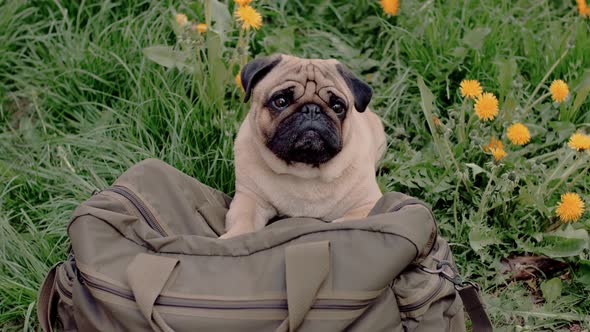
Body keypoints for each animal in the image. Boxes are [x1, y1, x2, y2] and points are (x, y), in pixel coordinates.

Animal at [222, 53, 388, 237]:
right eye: (280, 101)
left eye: (337, 107)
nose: (311, 110)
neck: (304, 170)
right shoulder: (250, 199)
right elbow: (244, 221)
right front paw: (234, 237)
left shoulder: (368, 204)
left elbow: (348, 221)